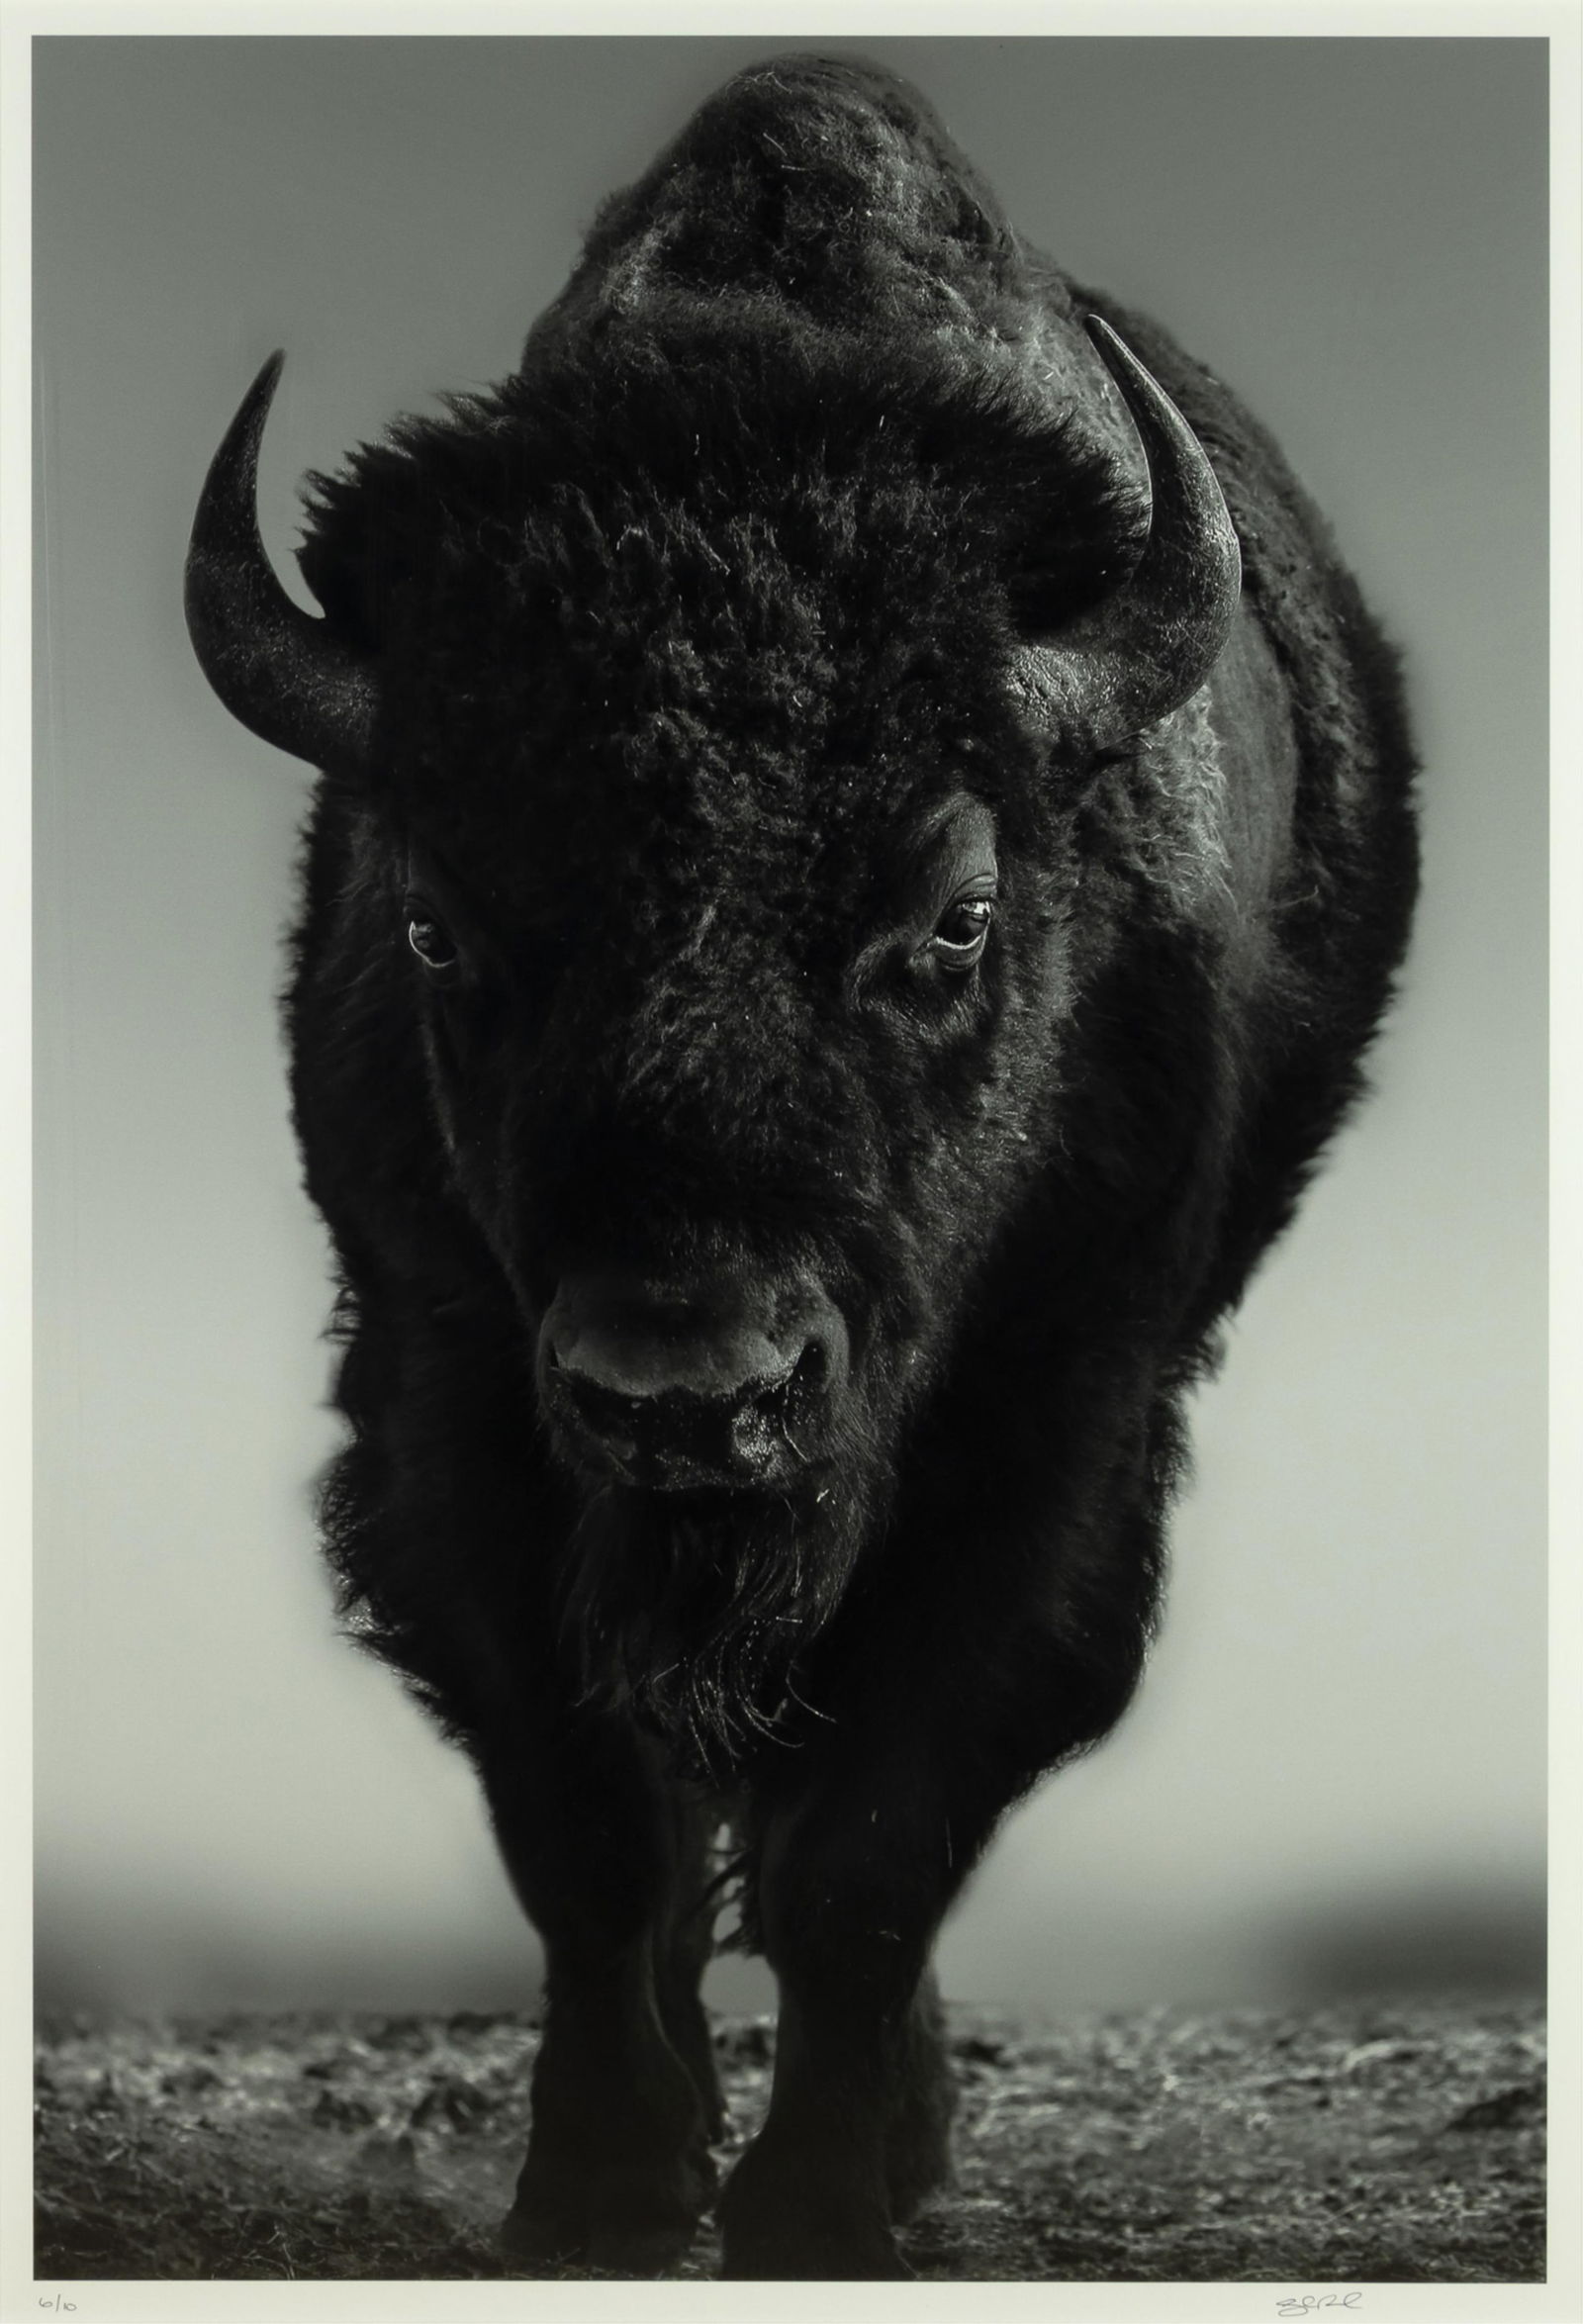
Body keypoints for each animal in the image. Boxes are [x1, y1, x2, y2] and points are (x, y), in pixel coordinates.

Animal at [185, 55, 1418, 2280]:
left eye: (951, 913)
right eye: (432, 926)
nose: (692, 1386)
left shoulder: (1048, 1430)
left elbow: (872, 1836)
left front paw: (827, 2201)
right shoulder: (451, 1400)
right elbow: (589, 1824)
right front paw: (601, 2188)